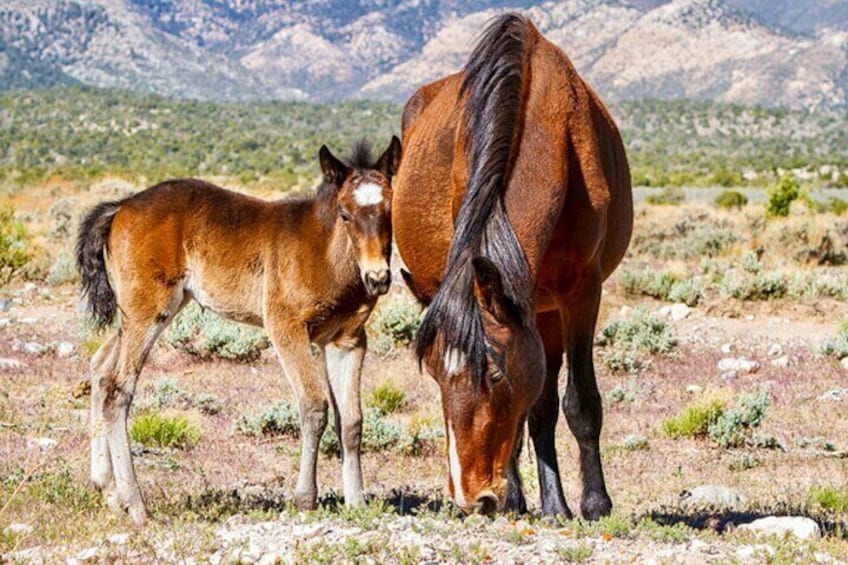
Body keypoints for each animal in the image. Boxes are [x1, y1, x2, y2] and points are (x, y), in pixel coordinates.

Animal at [76, 137, 400, 524]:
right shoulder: (286, 327)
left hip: (145, 312)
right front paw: (305, 498)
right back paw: (136, 504)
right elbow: (314, 407)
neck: (325, 253)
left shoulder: (347, 340)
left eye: (391, 210)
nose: (378, 278)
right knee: (117, 389)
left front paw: (358, 503)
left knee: (100, 367)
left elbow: (351, 421)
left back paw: (106, 489)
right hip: (148, 310)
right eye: (345, 214)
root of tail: (120, 207)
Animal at [394, 13, 632, 516]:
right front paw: (525, 496)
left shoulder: (581, 293)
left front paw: (592, 503)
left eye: (496, 374)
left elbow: (578, 402)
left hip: (547, 308)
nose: (470, 497)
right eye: (436, 376)